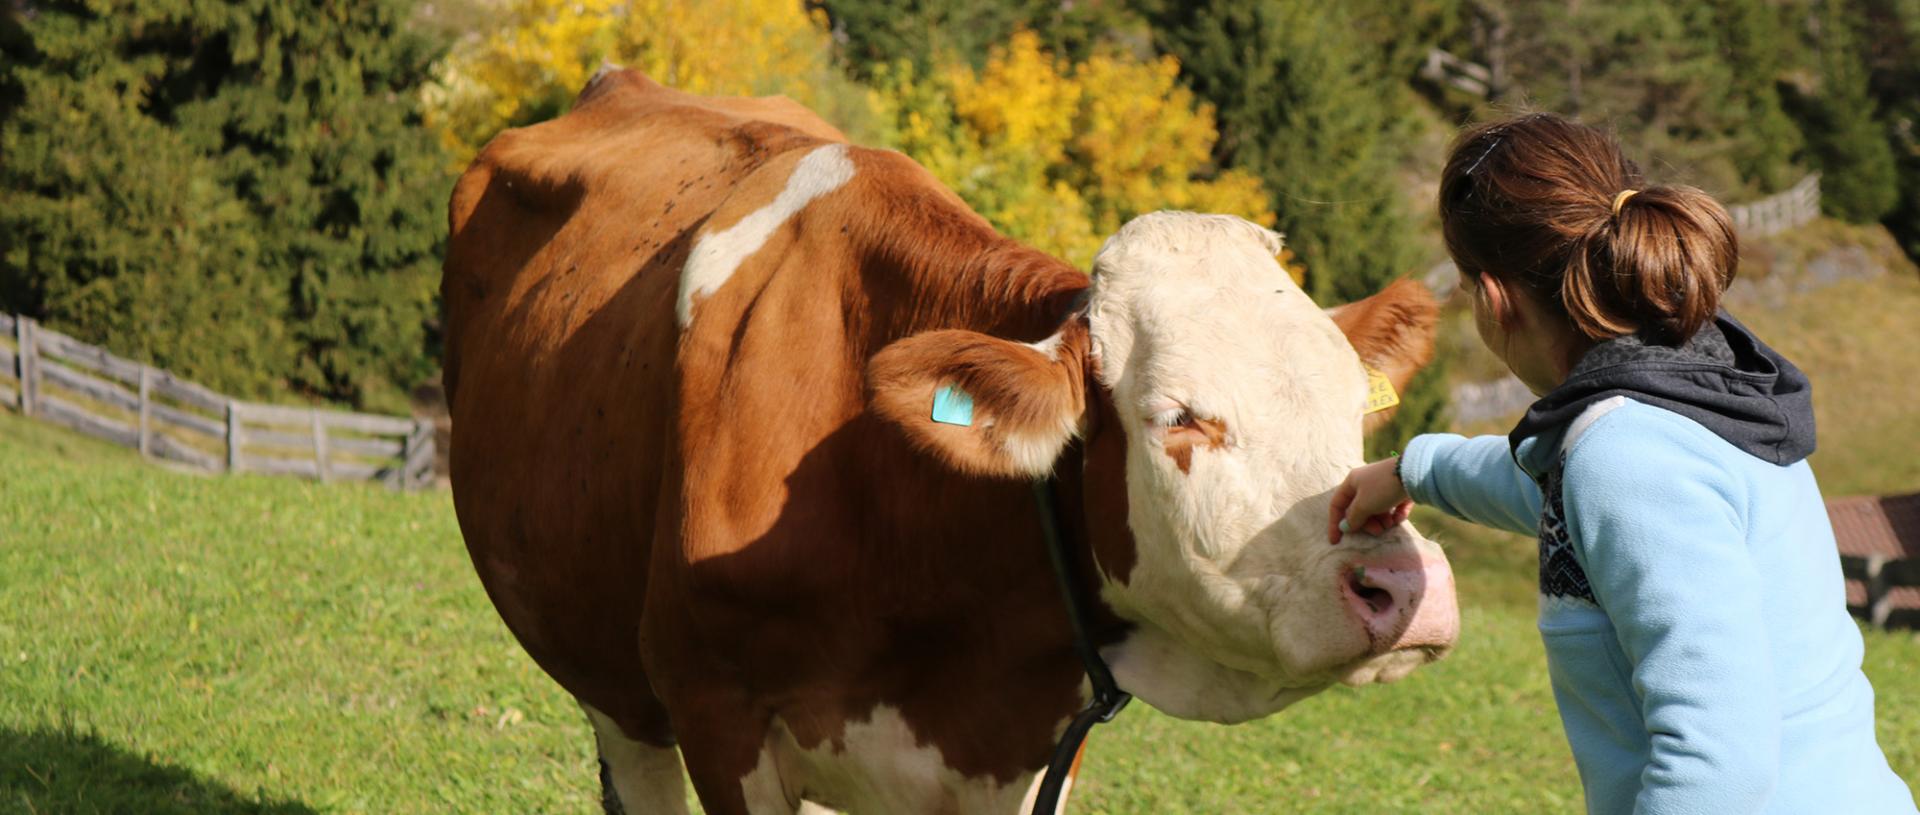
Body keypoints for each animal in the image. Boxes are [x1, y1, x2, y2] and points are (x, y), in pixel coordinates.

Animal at [439, 70, 1451, 815]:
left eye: (1355, 410)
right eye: (1180, 417)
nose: (1406, 584)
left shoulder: (1032, 751)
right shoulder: (714, 712)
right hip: (612, 679)